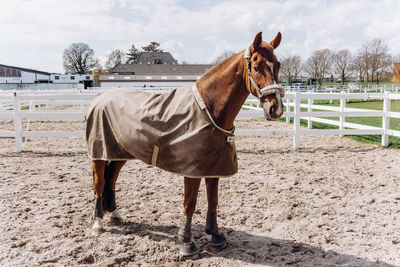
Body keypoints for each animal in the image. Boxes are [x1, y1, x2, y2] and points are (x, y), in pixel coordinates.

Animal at [85, 31, 284, 258]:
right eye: (256, 67)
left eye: (278, 65)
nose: (275, 109)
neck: (208, 108)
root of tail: (100, 96)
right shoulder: (192, 171)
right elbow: (190, 203)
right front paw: (187, 243)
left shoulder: (213, 167)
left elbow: (213, 200)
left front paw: (215, 236)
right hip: (99, 154)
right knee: (100, 182)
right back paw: (98, 222)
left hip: (121, 152)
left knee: (111, 179)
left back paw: (115, 214)